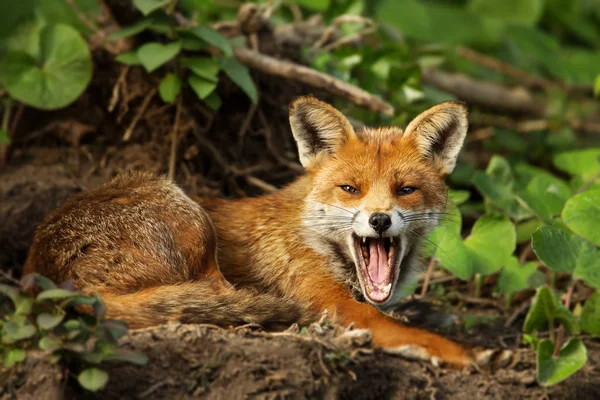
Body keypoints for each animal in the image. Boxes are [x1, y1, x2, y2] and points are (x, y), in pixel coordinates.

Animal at [23, 97, 494, 368]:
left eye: (405, 190)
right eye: (350, 189)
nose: (379, 220)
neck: (315, 240)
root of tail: (42, 275)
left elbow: (404, 315)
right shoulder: (332, 301)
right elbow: (399, 327)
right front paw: (459, 352)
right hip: (190, 217)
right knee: (220, 300)